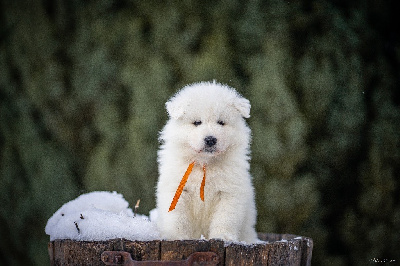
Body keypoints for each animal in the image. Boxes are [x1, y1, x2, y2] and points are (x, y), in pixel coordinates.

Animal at [155, 81, 258, 243]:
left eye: (221, 122)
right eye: (197, 122)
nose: (210, 139)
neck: (204, 164)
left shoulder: (229, 193)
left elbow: (225, 218)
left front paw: (223, 237)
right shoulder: (177, 190)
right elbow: (177, 218)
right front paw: (177, 237)